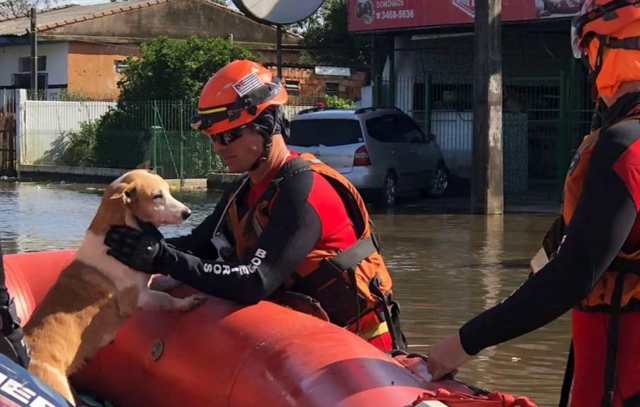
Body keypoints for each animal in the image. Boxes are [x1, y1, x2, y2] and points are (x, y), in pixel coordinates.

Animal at [23, 171, 204, 406]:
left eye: (168, 190)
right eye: (157, 196)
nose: (187, 213)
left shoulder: (145, 284)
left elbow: (163, 282)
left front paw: (177, 281)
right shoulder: (140, 298)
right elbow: (166, 299)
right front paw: (187, 303)